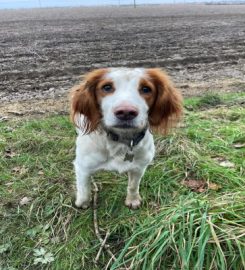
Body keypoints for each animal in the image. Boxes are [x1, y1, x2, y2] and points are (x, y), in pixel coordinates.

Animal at [70, 67, 182, 209]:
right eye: (107, 87)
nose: (126, 112)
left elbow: (133, 186)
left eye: (146, 89)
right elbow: (84, 190)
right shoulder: (83, 167)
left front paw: (132, 200)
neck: (121, 140)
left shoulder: (139, 167)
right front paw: (83, 203)